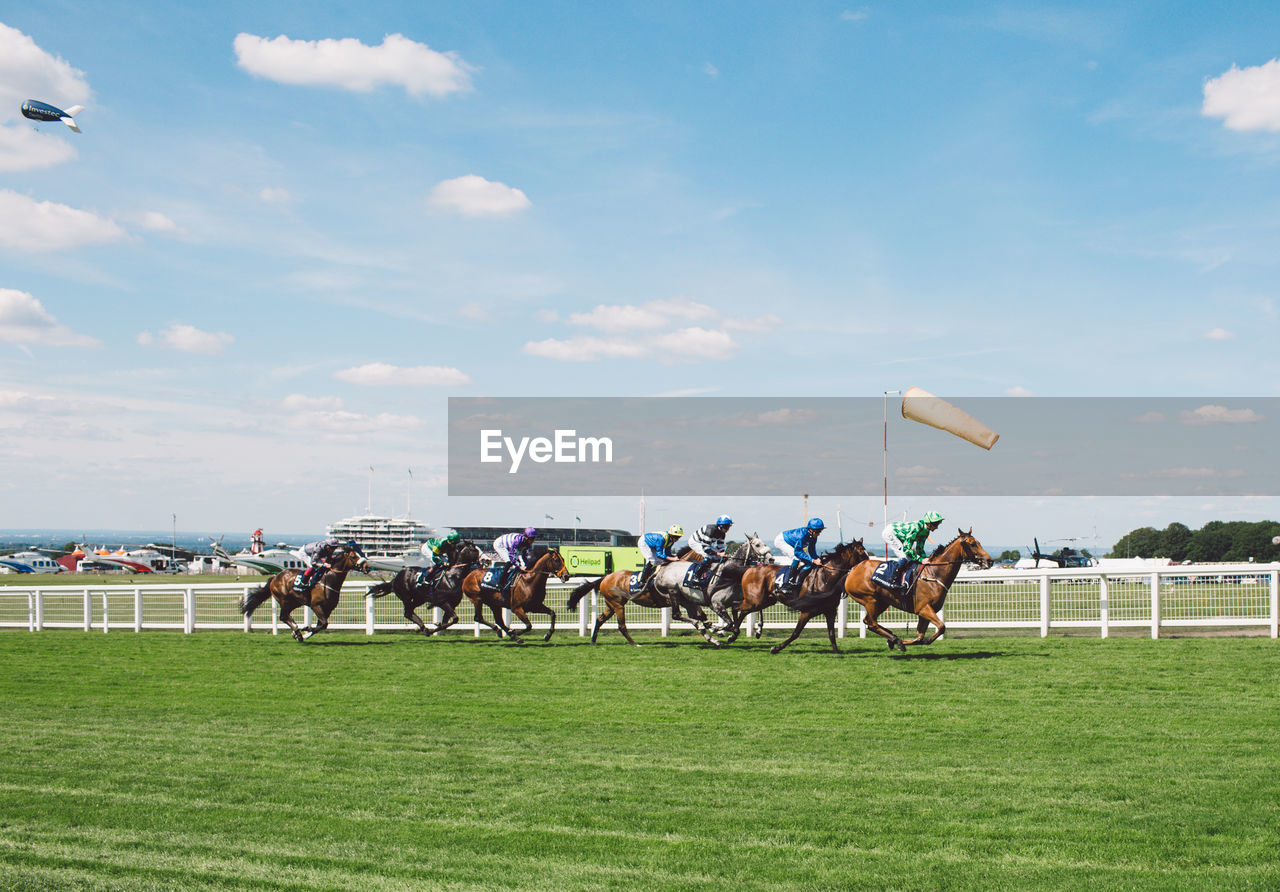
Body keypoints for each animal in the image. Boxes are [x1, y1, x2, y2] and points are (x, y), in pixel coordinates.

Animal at [240, 542, 371, 639]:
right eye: (353, 556)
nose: (367, 567)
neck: (328, 579)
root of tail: (275, 577)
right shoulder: (316, 605)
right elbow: (323, 623)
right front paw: (305, 629)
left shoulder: (328, 608)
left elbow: (322, 625)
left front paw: (306, 632)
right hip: (284, 600)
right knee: (283, 616)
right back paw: (297, 632)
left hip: (295, 602)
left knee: (286, 616)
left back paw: (296, 631)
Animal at [727, 534, 875, 655]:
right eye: (861, 554)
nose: (869, 566)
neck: (825, 578)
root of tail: (750, 568)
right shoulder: (806, 611)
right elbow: (796, 633)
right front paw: (776, 648)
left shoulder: (830, 611)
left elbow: (831, 634)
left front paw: (837, 652)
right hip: (754, 600)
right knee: (735, 607)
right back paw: (732, 631)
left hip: (764, 601)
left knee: (742, 611)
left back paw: (734, 633)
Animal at [844, 524, 993, 650]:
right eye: (972, 544)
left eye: (979, 543)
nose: (990, 561)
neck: (934, 574)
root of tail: (854, 569)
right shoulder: (924, 608)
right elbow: (941, 627)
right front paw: (902, 642)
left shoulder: (925, 612)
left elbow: (920, 637)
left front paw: (901, 641)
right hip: (870, 599)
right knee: (872, 623)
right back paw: (895, 640)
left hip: (882, 602)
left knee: (868, 621)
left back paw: (892, 638)